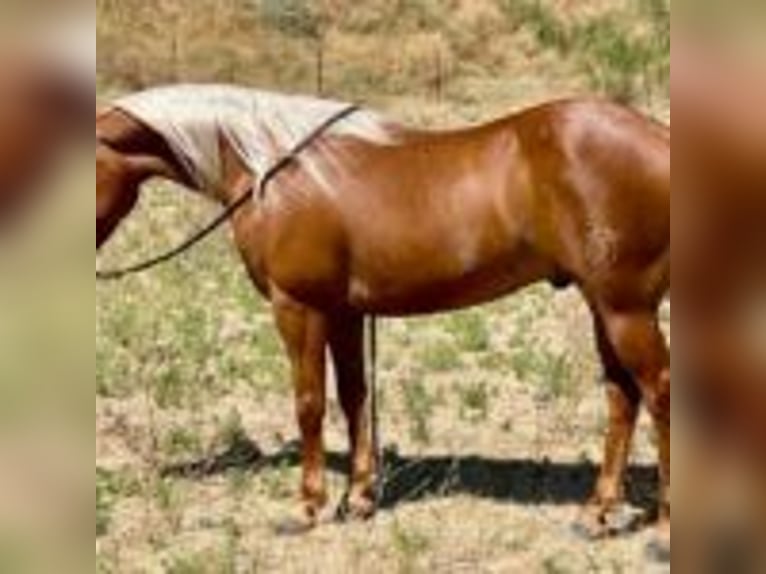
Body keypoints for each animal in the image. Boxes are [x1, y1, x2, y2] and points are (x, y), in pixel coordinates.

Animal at [96, 85, 670, 548]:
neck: (273, 171)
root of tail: (660, 138)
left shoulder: (297, 307)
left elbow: (309, 403)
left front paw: (308, 507)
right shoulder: (344, 312)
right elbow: (354, 397)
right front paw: (359, 498)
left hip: (625, 308)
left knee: (658, 390)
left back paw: (662, 524)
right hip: (603, 305)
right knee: (622, 397)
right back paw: (596, 513)